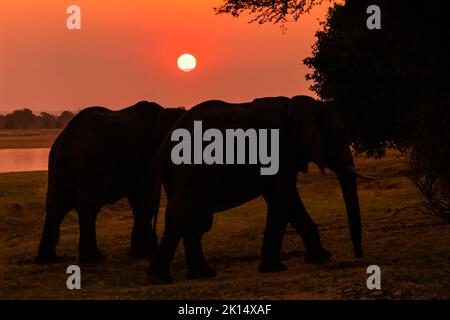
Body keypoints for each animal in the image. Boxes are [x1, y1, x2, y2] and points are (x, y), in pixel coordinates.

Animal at [34, 101, 186, 264]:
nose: (153, 247)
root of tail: (64, 140)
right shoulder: (148, 155)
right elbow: (146, 198)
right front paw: (142, 254)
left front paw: (140, 253)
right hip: (88, 167)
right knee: (88, 208)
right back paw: (95, 259)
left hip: (57, 169)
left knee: (57, 207)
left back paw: (46, 259)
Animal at [146, 95, 364, 284]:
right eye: (339, 133)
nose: (358, 258)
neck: (295, 104)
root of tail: (160, 154)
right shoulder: (279, 150)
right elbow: (284, 197)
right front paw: (315, 259)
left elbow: (280, 200)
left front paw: (292, 264)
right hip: (190, 173)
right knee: (183, 218)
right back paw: (161, 279)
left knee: (197, 222)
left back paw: (202, 274)